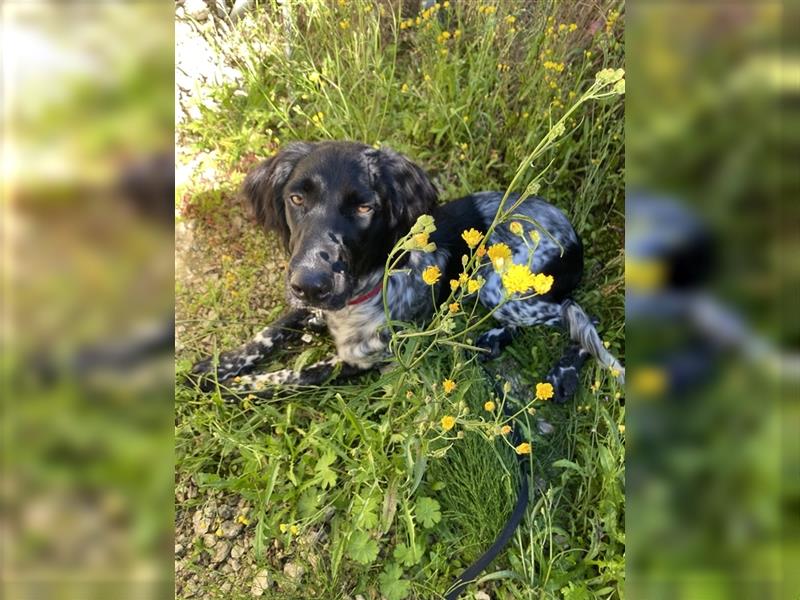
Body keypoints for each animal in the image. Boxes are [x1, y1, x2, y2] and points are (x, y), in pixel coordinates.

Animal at [189, 141, 624, 398]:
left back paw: (562, 373)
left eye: (364, 207)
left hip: (498, 284)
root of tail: (573, 235)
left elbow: (291, 376)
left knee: (580, 316)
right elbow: (270, 331)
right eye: (296, 198)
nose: (310, 283)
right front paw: (219, 365)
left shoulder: (362, 359)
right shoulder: (307, 305)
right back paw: (490, 340)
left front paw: (238, 385)